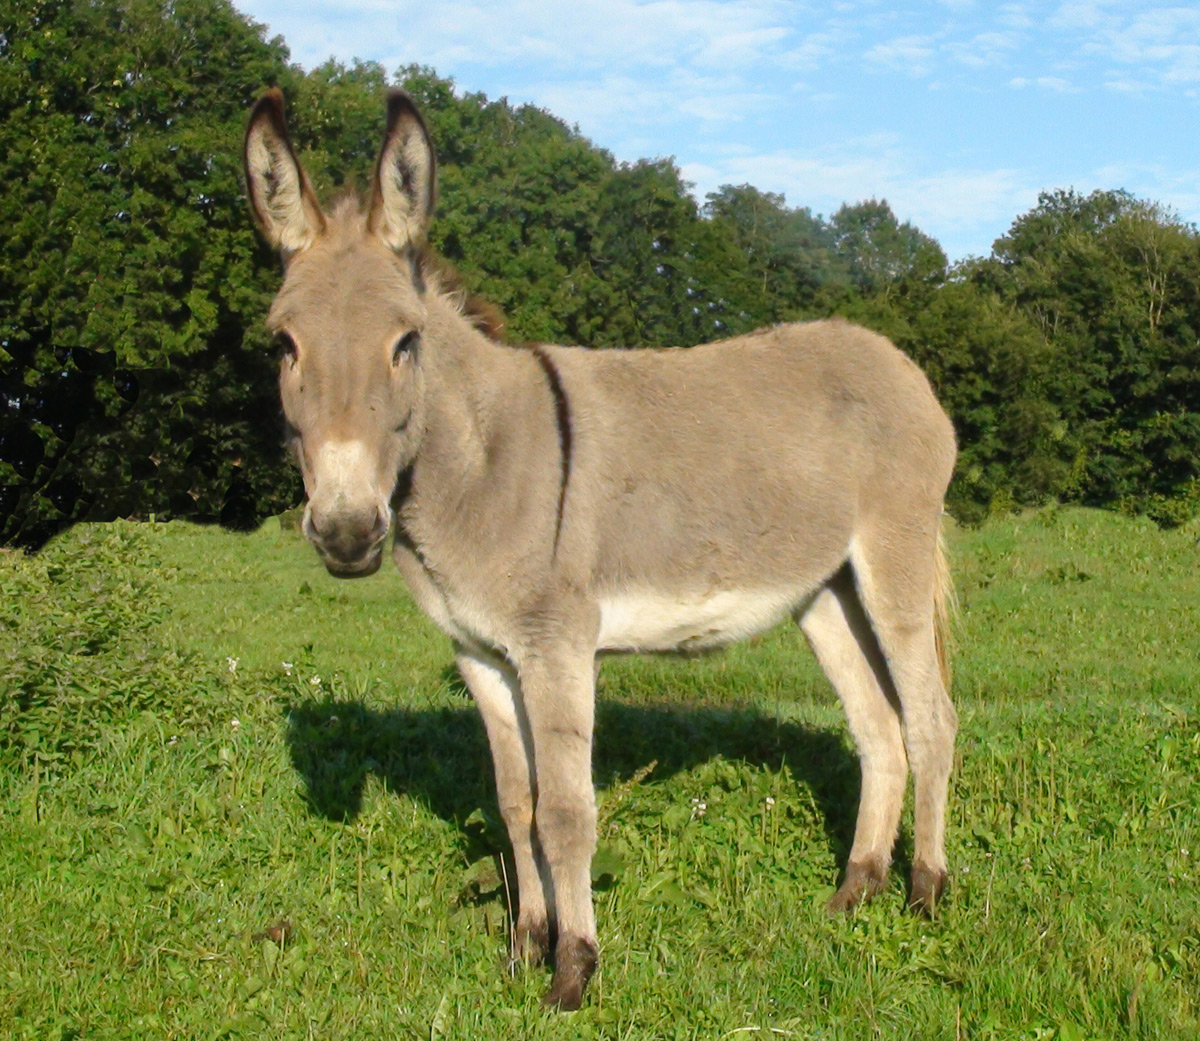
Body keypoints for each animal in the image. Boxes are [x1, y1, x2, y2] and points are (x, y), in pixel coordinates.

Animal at [244, 88, 958, 1011]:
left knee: (932, 720)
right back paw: (855, 890)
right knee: (879, 728)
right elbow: (515, 803)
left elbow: (565, 811)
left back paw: (925, 892)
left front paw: (574, 968)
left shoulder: (557, 648)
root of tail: (896, 358)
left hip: (891, 563)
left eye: (405, 343)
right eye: (282, 344)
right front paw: (524, 947)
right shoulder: (483, 655)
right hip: (824, 590)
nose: (345, 532)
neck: (479, 461)